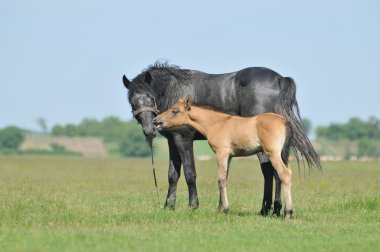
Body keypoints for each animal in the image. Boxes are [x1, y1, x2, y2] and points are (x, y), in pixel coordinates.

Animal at [154, 96, 294, 219]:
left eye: (175, 111)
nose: (156, 120)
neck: (217, 123)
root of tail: (284, 121)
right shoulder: (229, 156)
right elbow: (225, 178)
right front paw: (221, 208)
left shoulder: (221, 153)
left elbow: (220, 179)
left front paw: (225, 209)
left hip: (273, 153)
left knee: (284, 174)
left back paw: (288, 212)